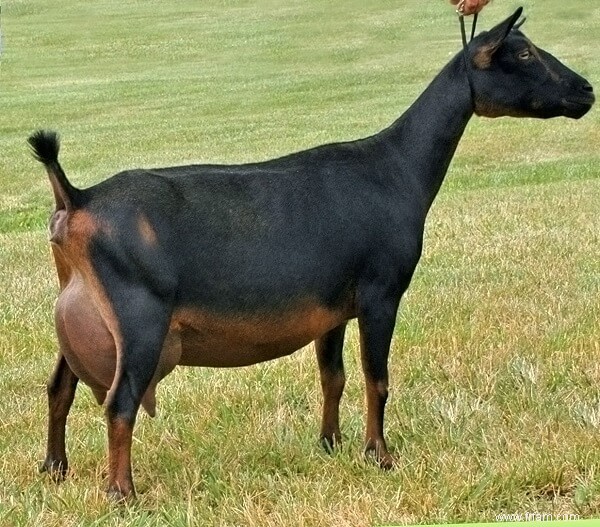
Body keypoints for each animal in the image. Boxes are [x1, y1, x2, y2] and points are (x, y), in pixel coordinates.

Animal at [29, 9, 596, 504]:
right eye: (523, 52)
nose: (587, 90)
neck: (396, 167)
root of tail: (76, 199)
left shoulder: (333, 308)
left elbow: (334, 377)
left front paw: (330, 445)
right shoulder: (379, 293)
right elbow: (376, 378)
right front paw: (379, 455)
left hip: (82, 313)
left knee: (59, 388)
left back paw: (54, 468)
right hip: (140, 318)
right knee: (120, 402)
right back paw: (121, 493)